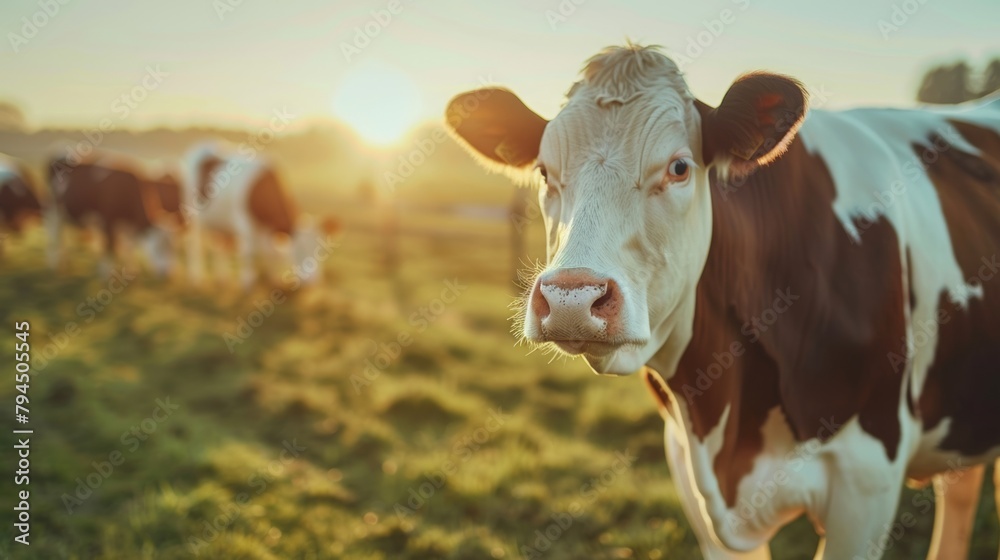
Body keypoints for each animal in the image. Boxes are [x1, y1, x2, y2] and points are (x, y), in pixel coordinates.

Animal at [47, 151, 182, 278]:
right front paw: (106, 275)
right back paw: (56, 266)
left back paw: (65, 263)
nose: (168, 274)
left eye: (174, 248)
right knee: (55, 236)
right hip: (54, 211)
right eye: (158, 247)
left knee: (63, 238)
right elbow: (109, 248)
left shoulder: (128, 226)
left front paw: (131, 270)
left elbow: (129, 248)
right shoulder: (108, 221)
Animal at [186, 142, 342, 290]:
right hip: (194, 214)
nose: (313, 283)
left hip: (220, 222)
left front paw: (273, 280)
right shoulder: (244, 223)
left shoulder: (268, 228)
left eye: (321, 251)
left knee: (221, 248)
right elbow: (248, 253)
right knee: (196, 245)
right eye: (298, 249)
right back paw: (197, 280)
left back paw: (223, 280)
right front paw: (247, 283)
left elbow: (270, 253)